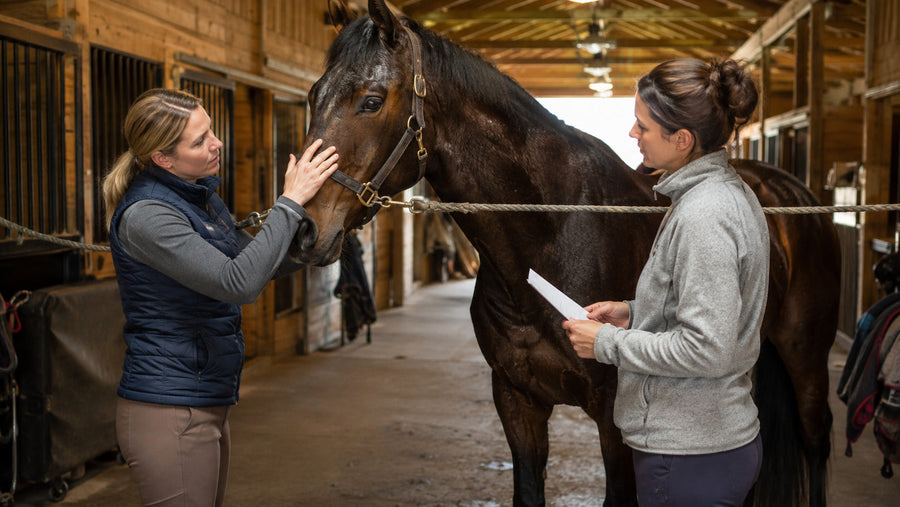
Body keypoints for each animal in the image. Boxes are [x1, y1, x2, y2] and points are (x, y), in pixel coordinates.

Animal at [290, 1, 841, 505]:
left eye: (371, 100)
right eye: (315, 95)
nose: (303, 226)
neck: (550, 232)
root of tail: (787, 188)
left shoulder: (614, 419)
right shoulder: (517, 403)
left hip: (805, 357)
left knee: (816, 440)